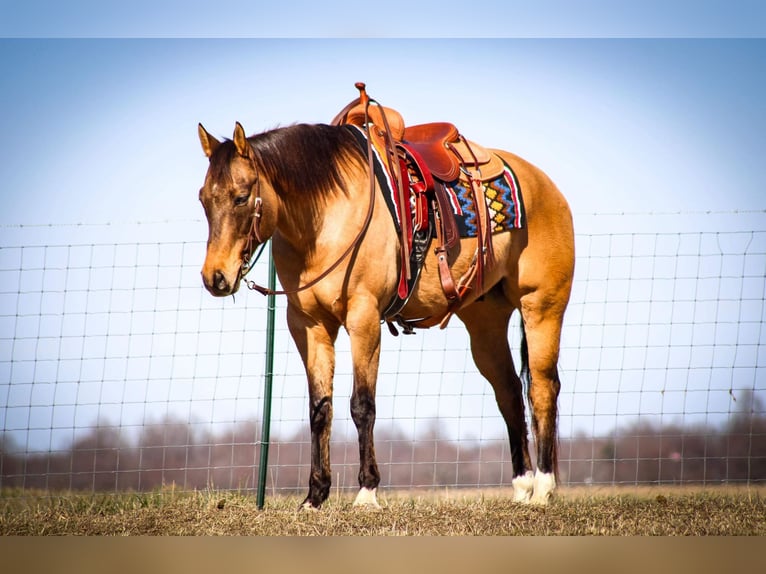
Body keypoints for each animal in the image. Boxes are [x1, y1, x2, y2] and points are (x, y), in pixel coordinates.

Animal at [198, 84, 576, 508]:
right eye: (203, 198)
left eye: (242, 196)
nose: (215, 277)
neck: (324, 217)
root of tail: (544, 184)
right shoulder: (308, 324)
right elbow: (320, 408)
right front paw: (315, 495)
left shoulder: (363, 318)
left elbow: (362, 405)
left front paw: (366, 491)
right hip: (485, 322)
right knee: (509, 392)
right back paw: (523, 486)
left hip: (542, 306)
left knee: (542, 388)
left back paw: (543, 487)